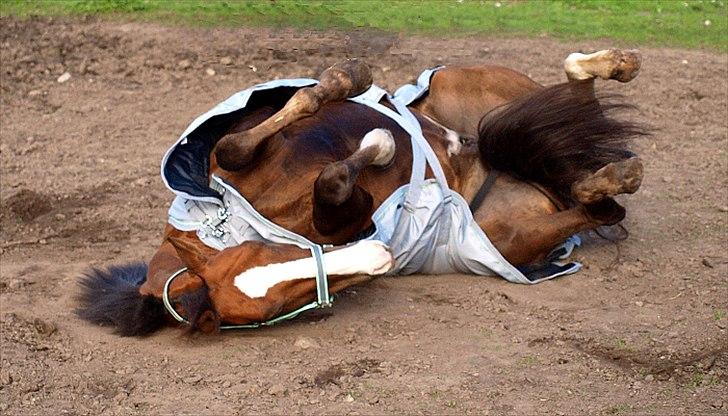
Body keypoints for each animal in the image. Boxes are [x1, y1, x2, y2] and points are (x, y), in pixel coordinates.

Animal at [77, 48, 648, 334]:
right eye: (286, 307)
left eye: (263, 255)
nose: (378, 256)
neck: (238, 216)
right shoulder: (350, 217)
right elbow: (333, 182)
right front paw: (377, 146)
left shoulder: (238, 143)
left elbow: (241, 142)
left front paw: (350, 82)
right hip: (511, 230)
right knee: (599, 203)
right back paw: (611, 172)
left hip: (488, 92)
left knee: (578, 91)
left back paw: (616, 64)